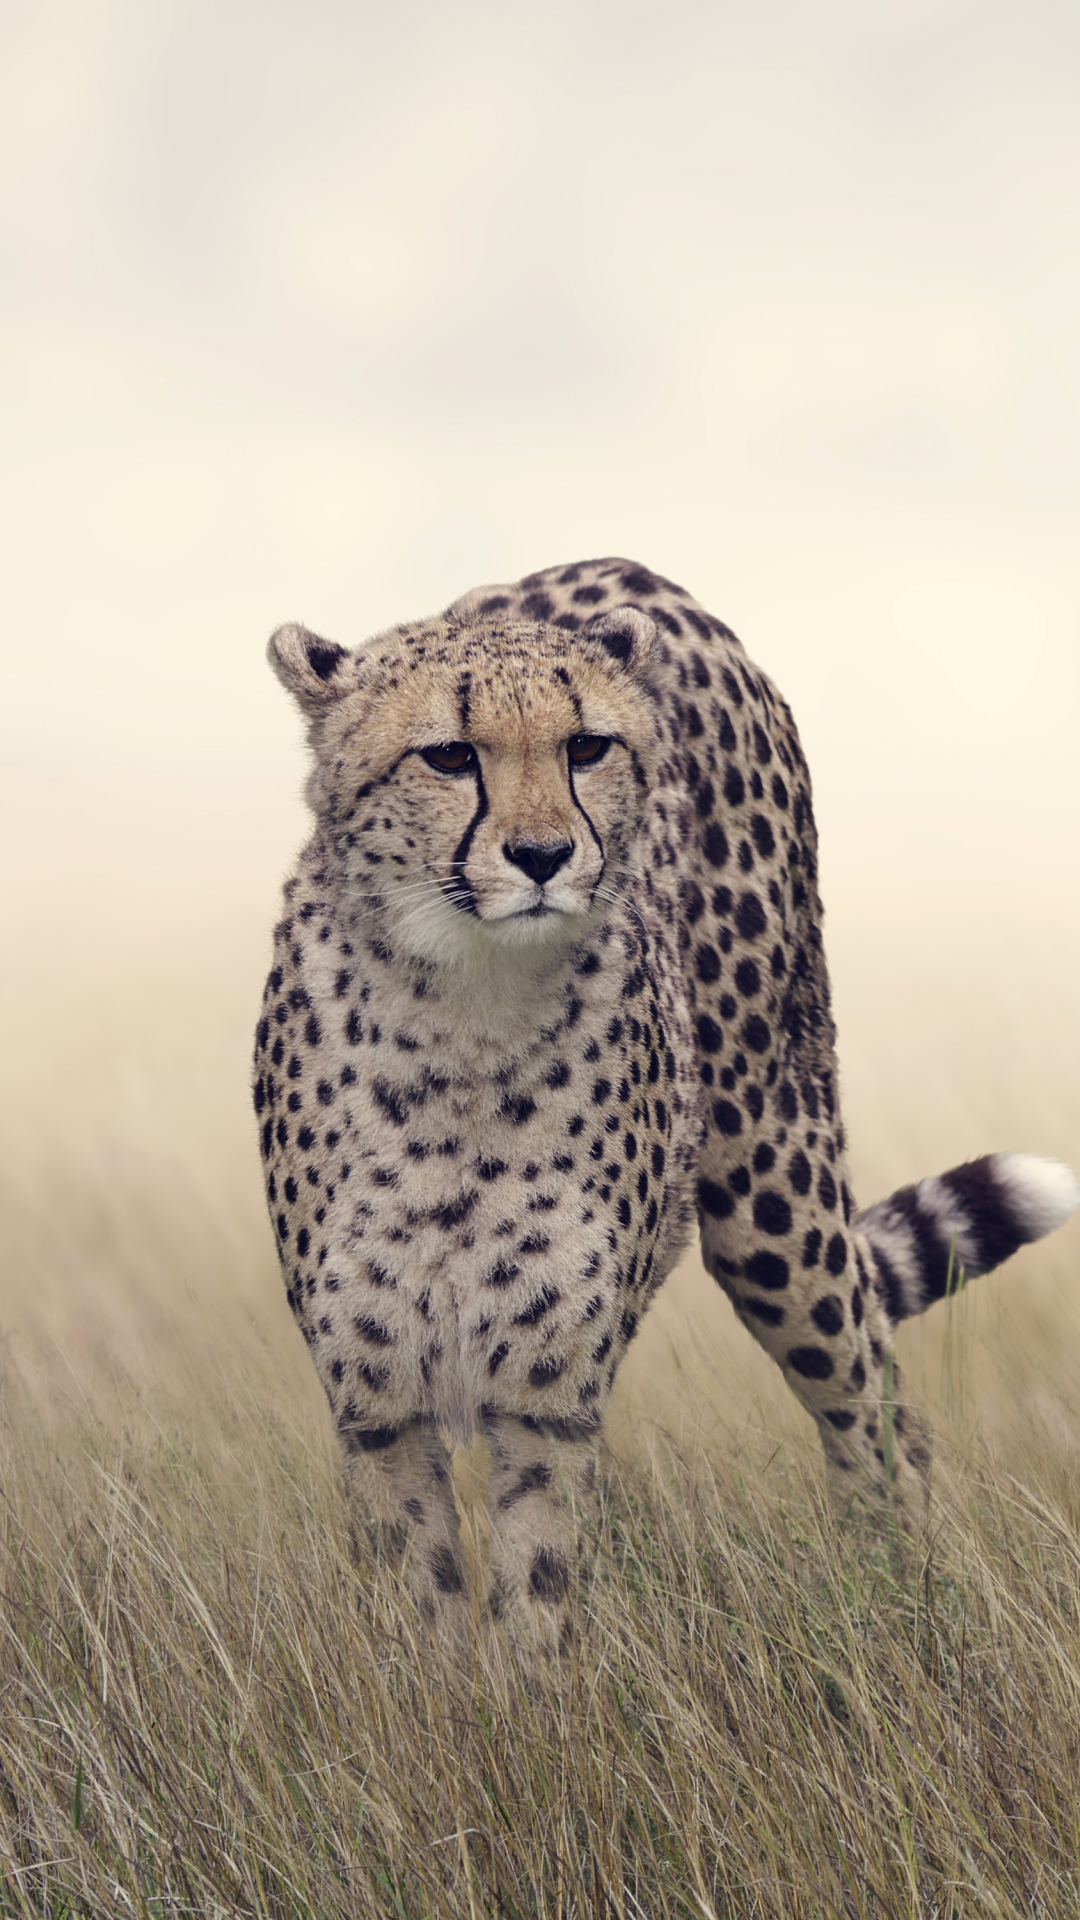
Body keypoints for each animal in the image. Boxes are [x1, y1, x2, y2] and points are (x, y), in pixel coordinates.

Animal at [254, 556, 1078, 1657]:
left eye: (586, 746)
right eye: (449, 756)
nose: (544, 855)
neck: (466, 1012)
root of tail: (628, 572)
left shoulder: (548, 1401)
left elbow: (536, 1610)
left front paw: (530, 1703)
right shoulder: (379, 1410)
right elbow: (421, 1623)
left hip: (774, 1197)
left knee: (873, 1405)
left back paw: (897, 1609)